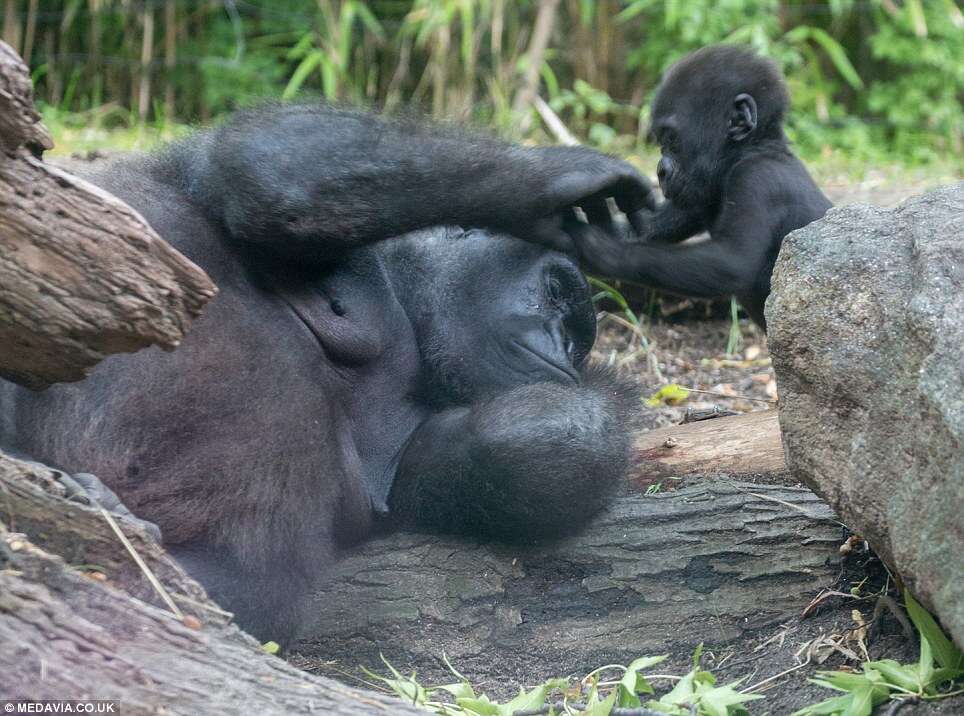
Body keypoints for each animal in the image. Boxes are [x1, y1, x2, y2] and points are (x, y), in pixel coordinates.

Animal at [1, 107, 648, 644]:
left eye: (576, 336)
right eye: (554, 293)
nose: (562, 348)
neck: (409, 308)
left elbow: (545, 445)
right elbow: (275, 169)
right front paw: (559, 180)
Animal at [568, 46, 832, 332]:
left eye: (671, 140)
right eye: (660, 142)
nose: (660, 172)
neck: (751, 148)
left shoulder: (757, 179)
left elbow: (733, 262)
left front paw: (593, 246)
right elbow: (649, 225)